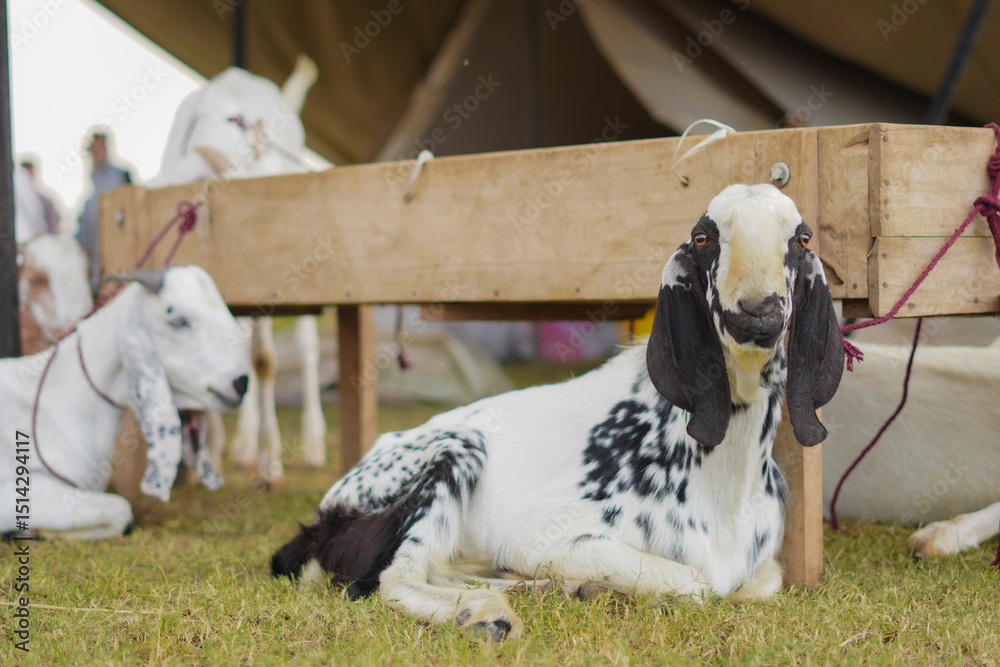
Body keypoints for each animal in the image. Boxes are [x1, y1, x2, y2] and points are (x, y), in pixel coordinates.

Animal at [148, 55, 324, 481]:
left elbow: (264, 360)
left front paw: (270, 461)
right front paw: (209, 451)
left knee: (304, 348)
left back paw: (309, 444)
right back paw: (238, 445)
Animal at [271, 184, 844, 640]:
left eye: (801, 239)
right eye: (704, 238)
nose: (758, 310)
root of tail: (322, 517)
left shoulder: (760, 566)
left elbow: (763, 581)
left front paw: (579, 587)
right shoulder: (541, 535)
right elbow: (697, 584)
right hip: (454, 453)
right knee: (396, 575)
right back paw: (488, 613)